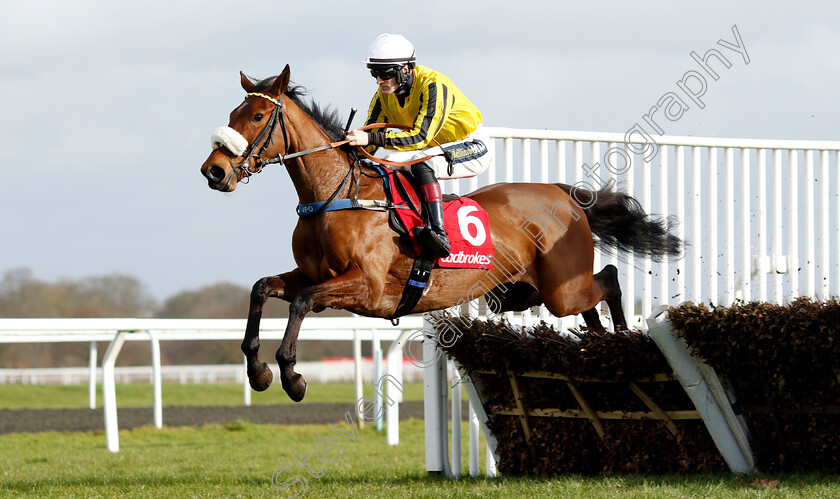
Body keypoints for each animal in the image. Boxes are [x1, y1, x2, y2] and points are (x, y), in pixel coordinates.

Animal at [200, 65, 680, 402]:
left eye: (257, 115)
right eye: (231, 114)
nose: (214, 171)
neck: (336, 194)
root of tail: (565, 196)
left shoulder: (368, 288)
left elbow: (300, 302)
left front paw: (292, 376)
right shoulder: (314, 274)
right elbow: (262, 288)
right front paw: (258, 371)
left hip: (563, 289)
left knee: (610, 280)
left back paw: (620, 340)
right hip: (525, 293)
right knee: (591, 306)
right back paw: (597, 348)